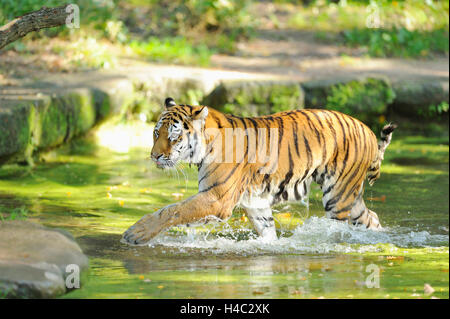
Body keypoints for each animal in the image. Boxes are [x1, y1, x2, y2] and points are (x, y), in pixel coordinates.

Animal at [121, 97, 396, 245]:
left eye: (173, 136)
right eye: (155, 133)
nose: (154, 156)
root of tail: (367, 129)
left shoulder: (217, 198)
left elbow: (173, 210)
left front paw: (136, 233)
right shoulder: (256, 203)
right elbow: (267, 231)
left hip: (338, 196)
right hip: (349, 198)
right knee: (371, 218)